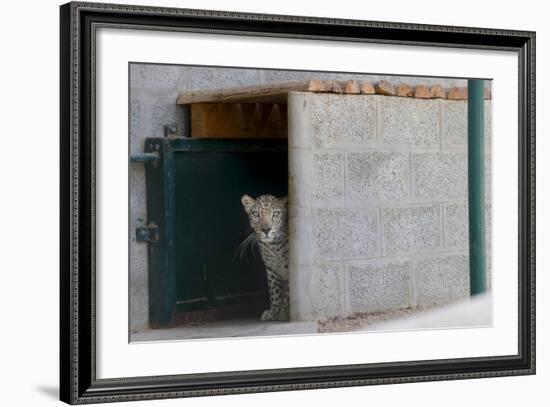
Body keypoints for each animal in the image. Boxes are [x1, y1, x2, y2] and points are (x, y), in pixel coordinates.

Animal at [240, 194, 292, 322]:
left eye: (276, 214)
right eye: (256, 214)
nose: (266, 229)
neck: (274, 246)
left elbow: (288, 291)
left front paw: (284, 312)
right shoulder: (271, 268)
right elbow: (275, 290)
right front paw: (274, 311)